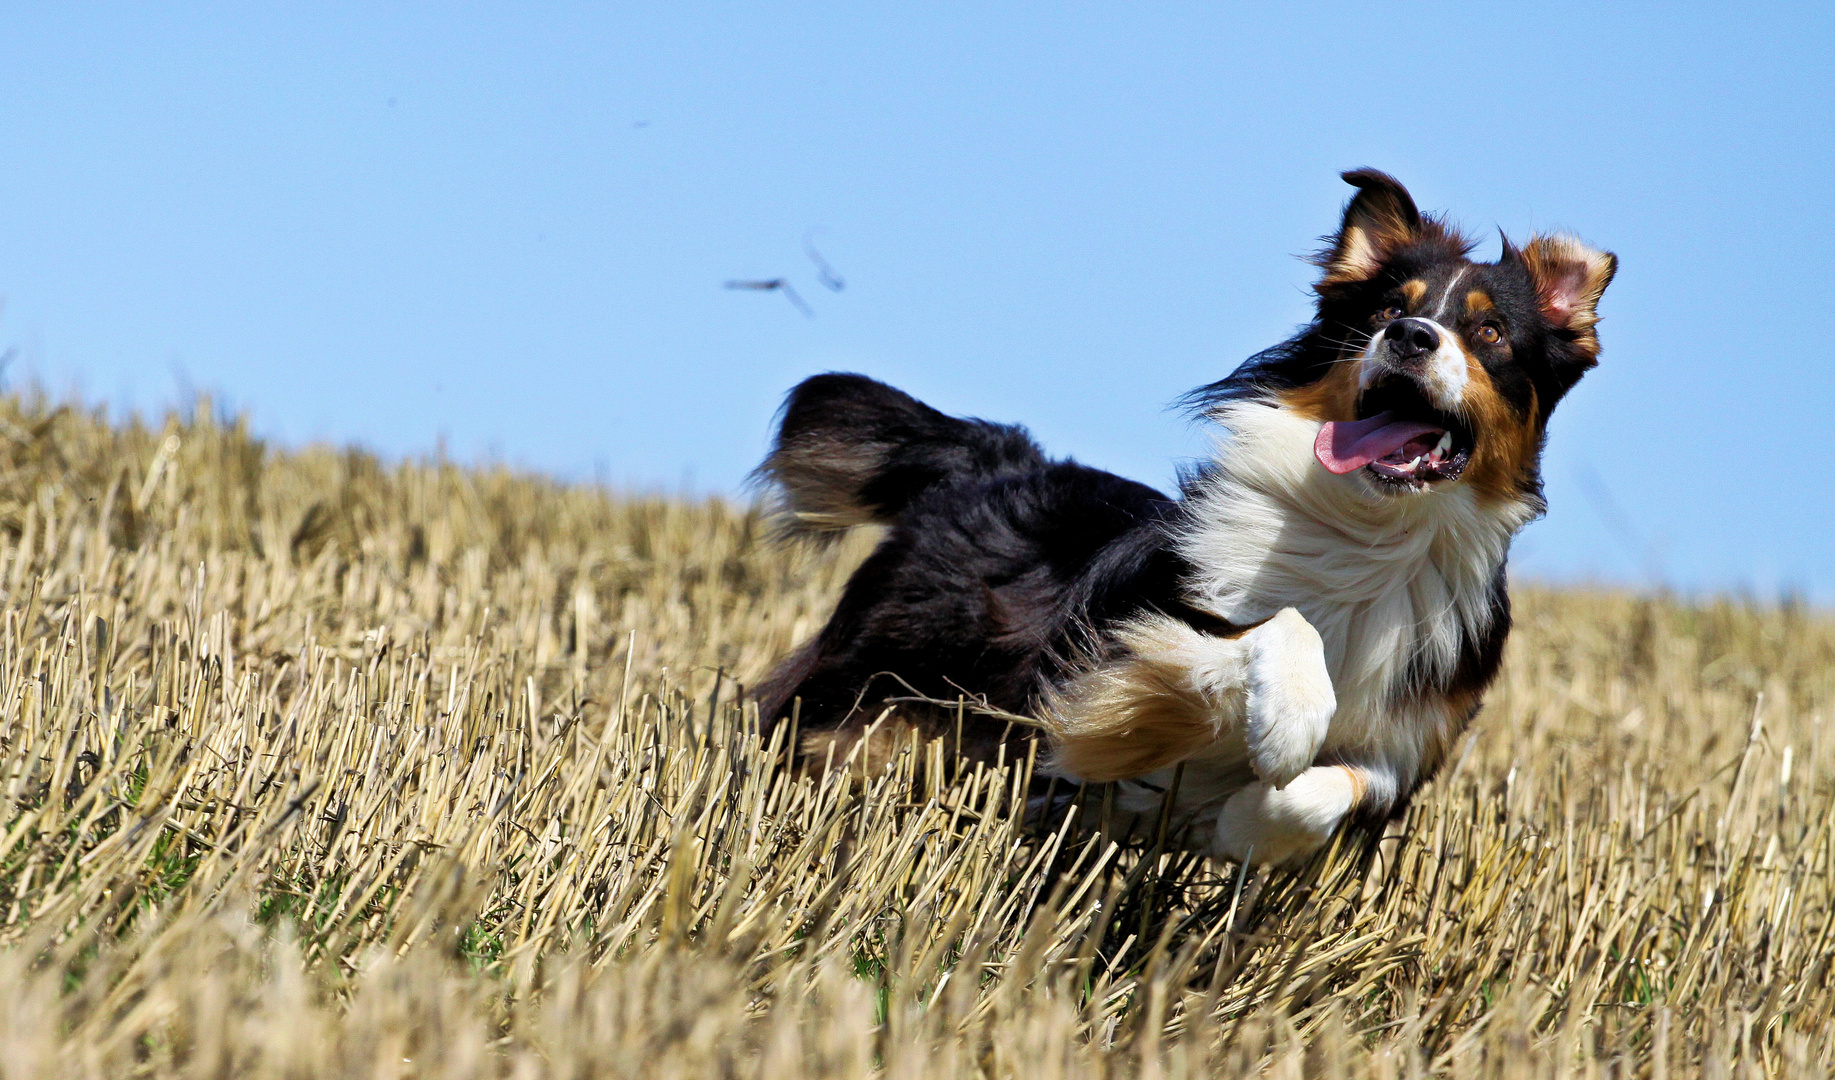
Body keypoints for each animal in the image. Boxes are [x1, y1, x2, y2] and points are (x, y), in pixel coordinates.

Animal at [752, 170, 1614, 869]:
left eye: (1490, 332)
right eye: (1382, 310)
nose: (1407, 337)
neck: (1366, 531)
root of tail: (1003, 458)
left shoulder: (1403, 748)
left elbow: (1330, 789)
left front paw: (1246, 818)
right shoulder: (1120, 644)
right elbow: (1276, 631)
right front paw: (1283, 727)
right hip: (870, 691)